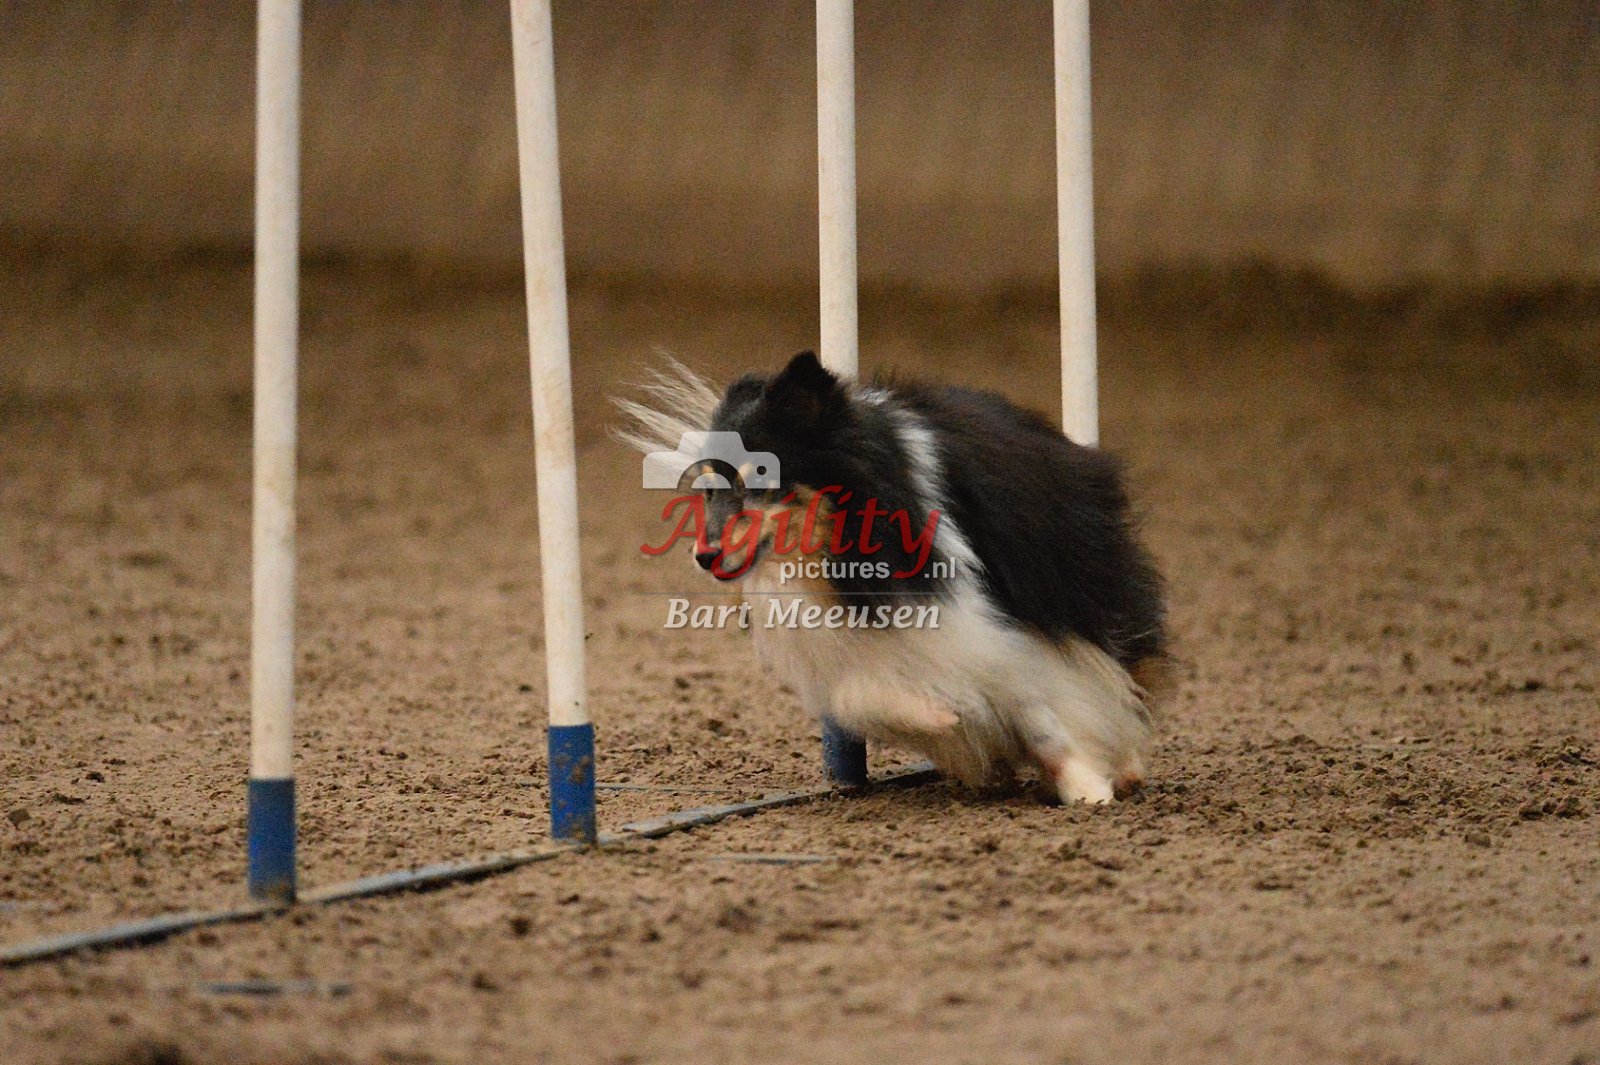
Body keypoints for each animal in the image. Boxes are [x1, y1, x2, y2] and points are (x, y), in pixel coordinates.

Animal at [618, 351, 1169, 803]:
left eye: (761, 474)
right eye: (709, 489)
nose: (704, 556)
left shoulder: (989, 628)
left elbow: (1039, 712)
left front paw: (1087, 790)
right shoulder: (852, 644)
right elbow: (861, 693)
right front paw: (946, 714)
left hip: (1079, 578)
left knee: (1116, 654)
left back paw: (1126, 764)